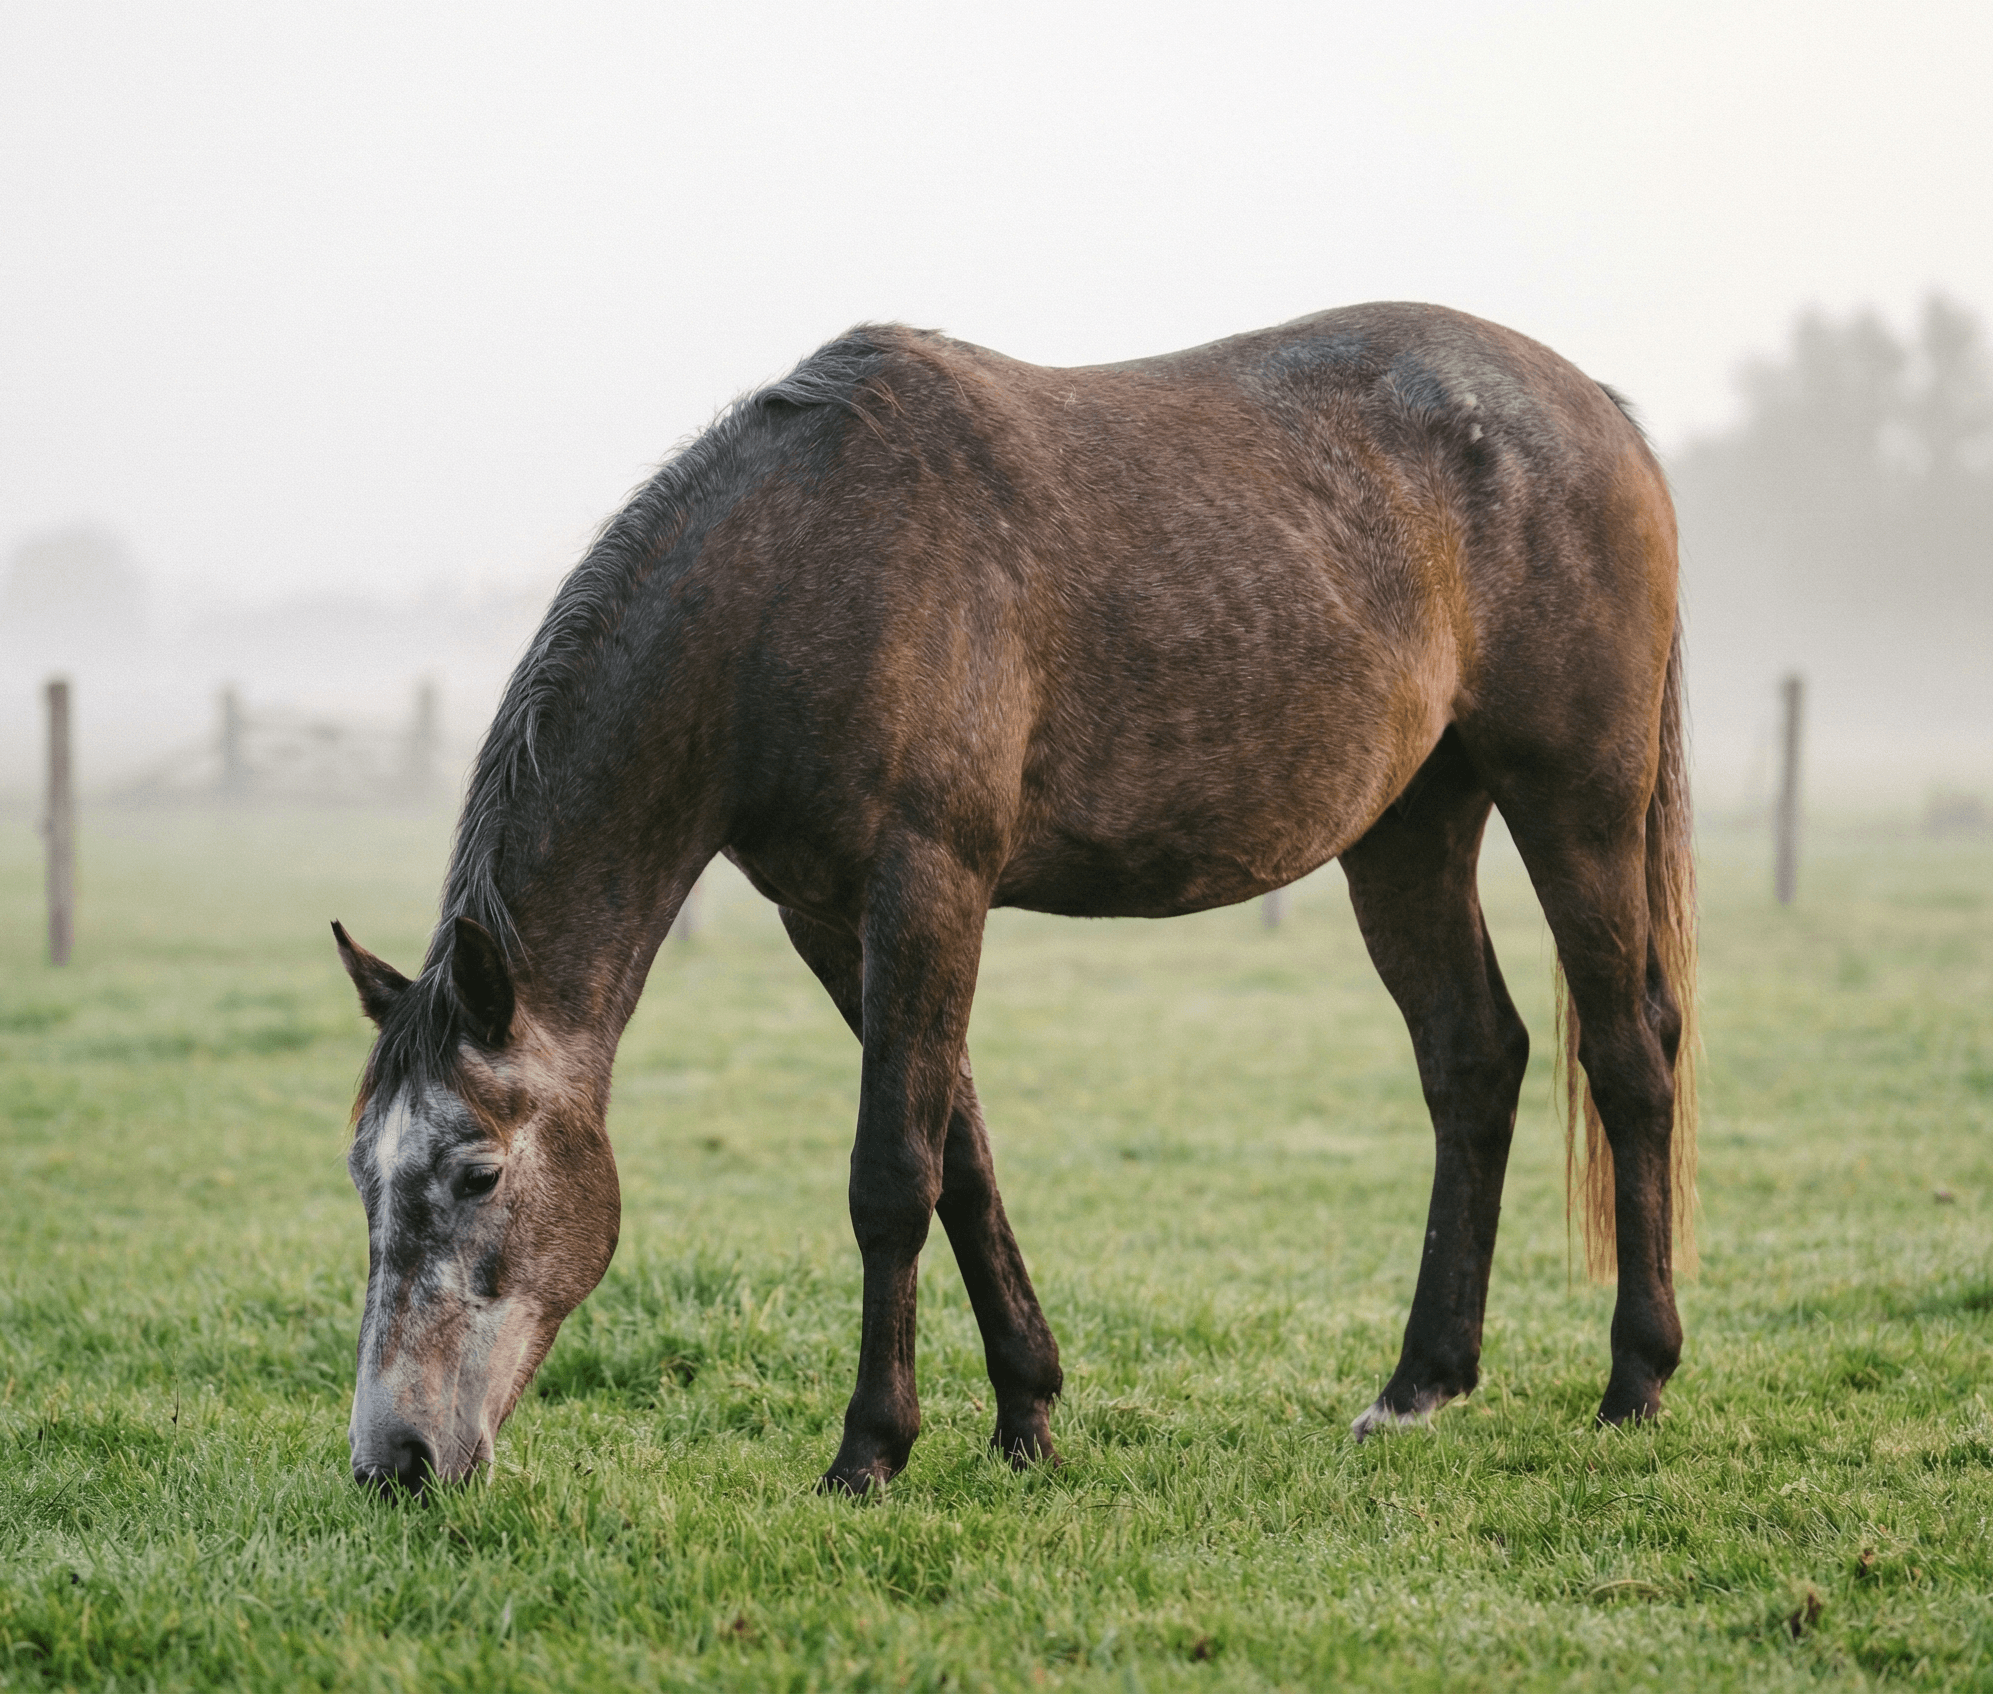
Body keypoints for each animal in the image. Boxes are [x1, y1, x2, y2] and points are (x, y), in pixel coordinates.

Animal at [333, 301, 1697, 1496]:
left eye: (477, 1173)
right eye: (363, 1176)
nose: (395, 1460)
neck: (799, 568)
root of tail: (1601, 411)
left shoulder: (928, 883)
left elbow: (892, 1171)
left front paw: (869, 1449)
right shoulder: (832, 919)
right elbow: (964, 1159)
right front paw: (1025, 1413)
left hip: (1575, 803)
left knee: (1629, 1058)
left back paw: (1635, 1380)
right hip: (1409, 828)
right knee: (1474, 1058)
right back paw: (1420, 1383)